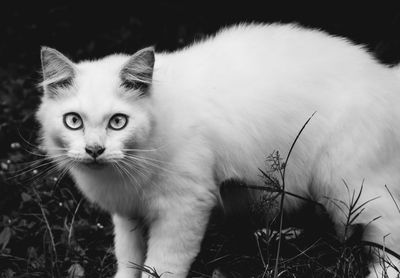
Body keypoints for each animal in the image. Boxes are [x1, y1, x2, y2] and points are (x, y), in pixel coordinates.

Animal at [36, 24, 400, 278]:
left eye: (117, 122)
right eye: (73, 121)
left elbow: (161, 266)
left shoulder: (183, 208)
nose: (94, 150)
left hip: (350, 187)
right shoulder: (129, 214)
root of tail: (384, 74)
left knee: (389, 238)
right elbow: (128, 261)